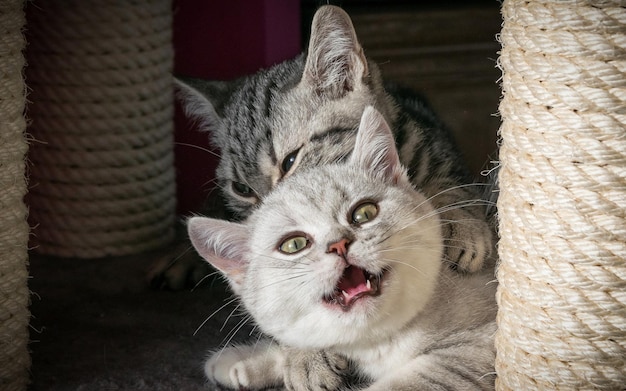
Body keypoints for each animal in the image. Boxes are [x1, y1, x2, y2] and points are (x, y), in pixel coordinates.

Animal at [188, 107, 494, 391]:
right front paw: (245, 360)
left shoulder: (474, 349)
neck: (377, 341)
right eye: (294, 244)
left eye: (364, 213)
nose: (338, 244)